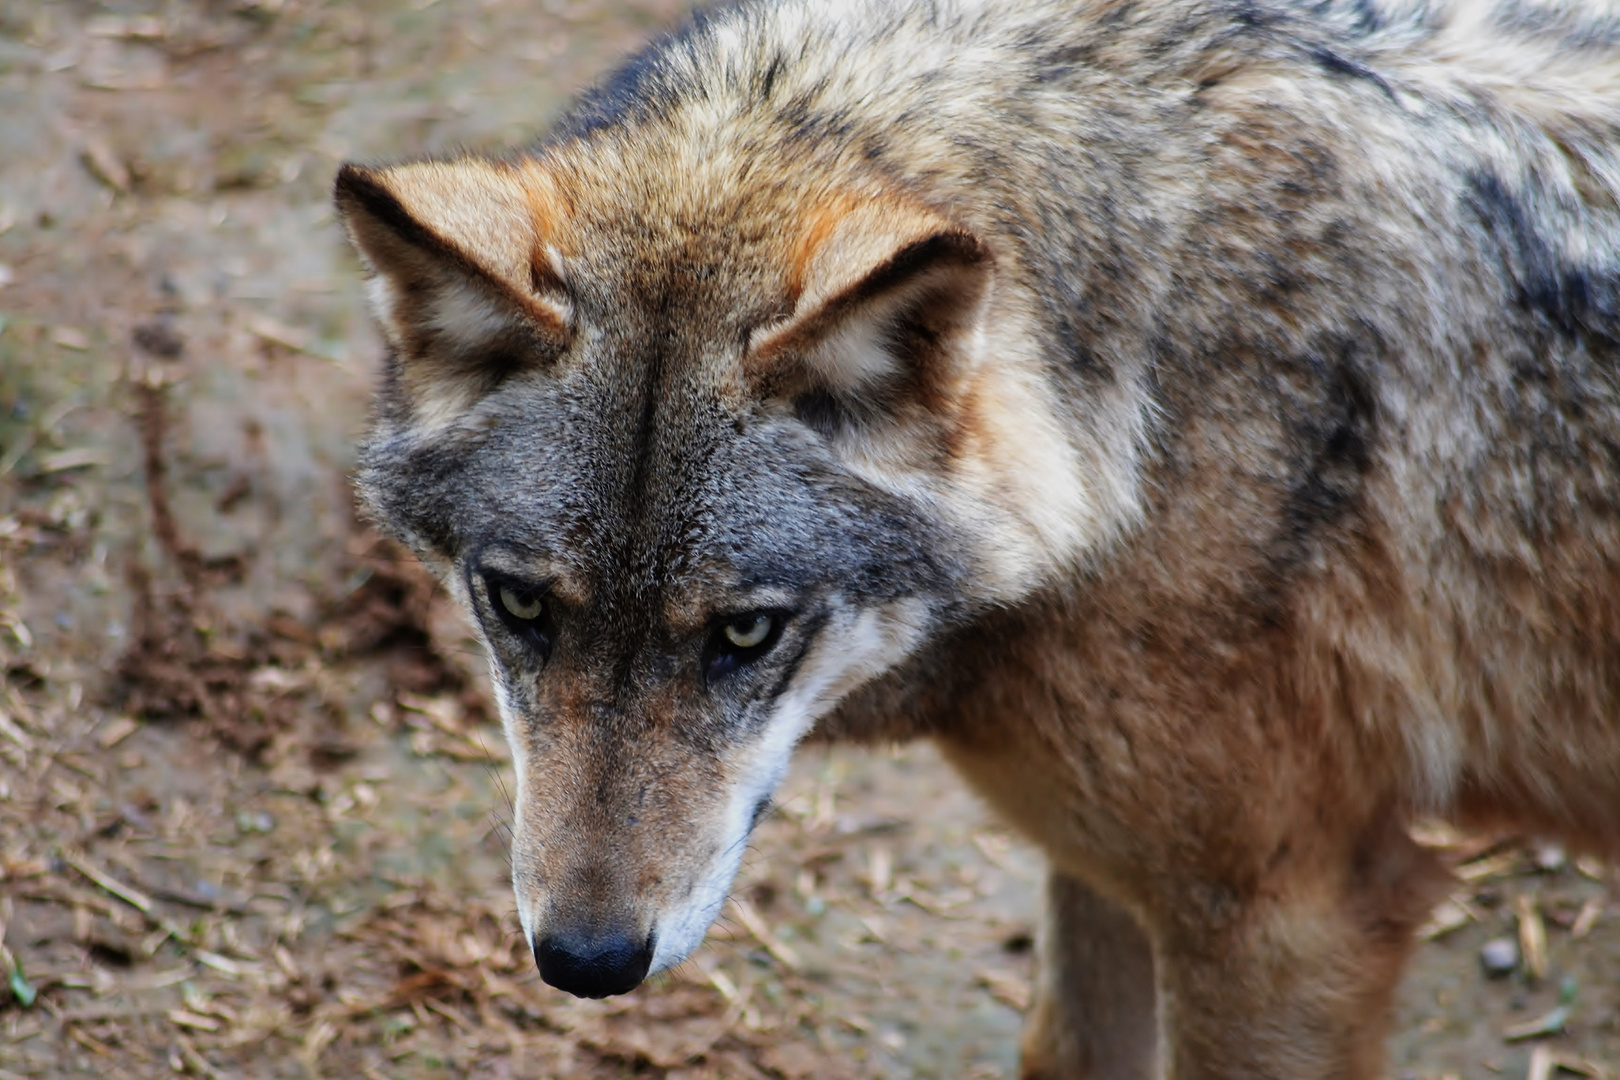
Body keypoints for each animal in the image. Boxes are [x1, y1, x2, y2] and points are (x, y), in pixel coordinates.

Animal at [328, 0, 1620, 1075]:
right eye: (521, 605)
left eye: (746, 632)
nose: (585, 962)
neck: (1145, 394)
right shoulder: (1111, 867)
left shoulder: (1286, 916)